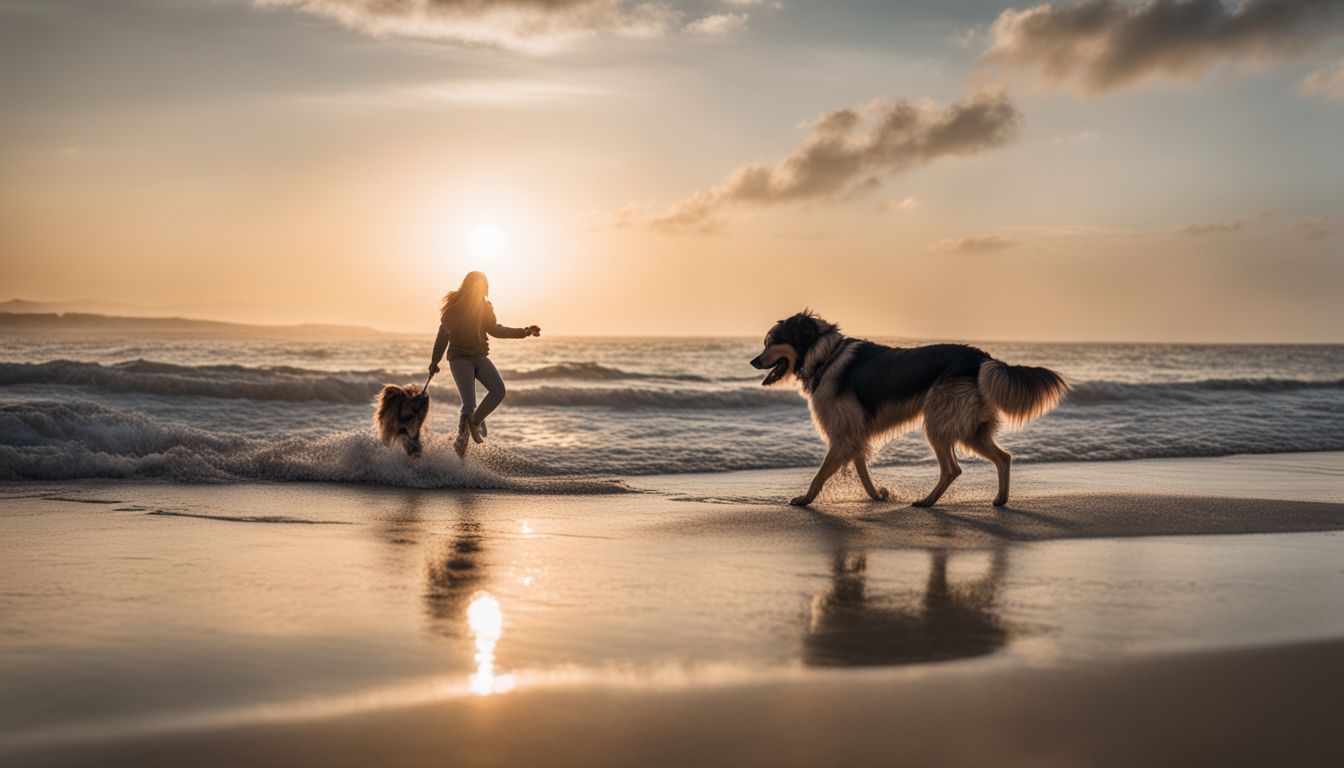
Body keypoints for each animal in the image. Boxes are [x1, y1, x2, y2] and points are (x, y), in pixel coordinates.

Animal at [752, 312, 1064, 511]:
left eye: (771, 341)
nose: (753, 361)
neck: (825, 355)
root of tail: (980, 359)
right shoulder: (854, 435)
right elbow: (862, 470)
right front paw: (877, 496)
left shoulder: (843, 436)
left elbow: (821, 474)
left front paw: (805, 499)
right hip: (972, 430)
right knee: (1003, 458)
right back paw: (1000, 500)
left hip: (939, 423)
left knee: (953, 468)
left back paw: (927, 502)